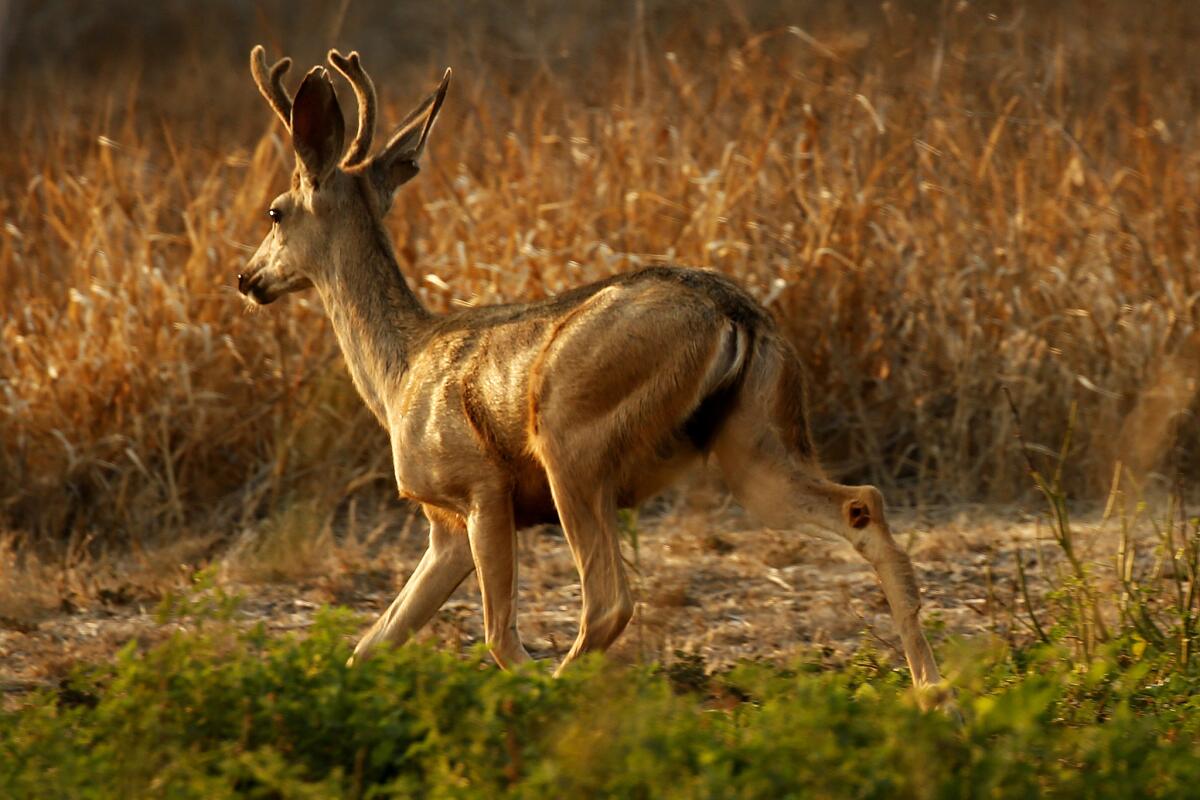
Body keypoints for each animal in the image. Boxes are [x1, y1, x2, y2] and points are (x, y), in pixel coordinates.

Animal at [236, 45, 945, 700]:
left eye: (276, 211)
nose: (246, 279)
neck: (400, 369)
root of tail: (736, 314)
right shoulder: (444, 526)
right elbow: (373, 643)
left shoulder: (480, 487)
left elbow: (498, 636)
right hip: (752, 443)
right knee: (861, 504)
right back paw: (933, 693)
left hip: (571, 437)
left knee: (608, 602)